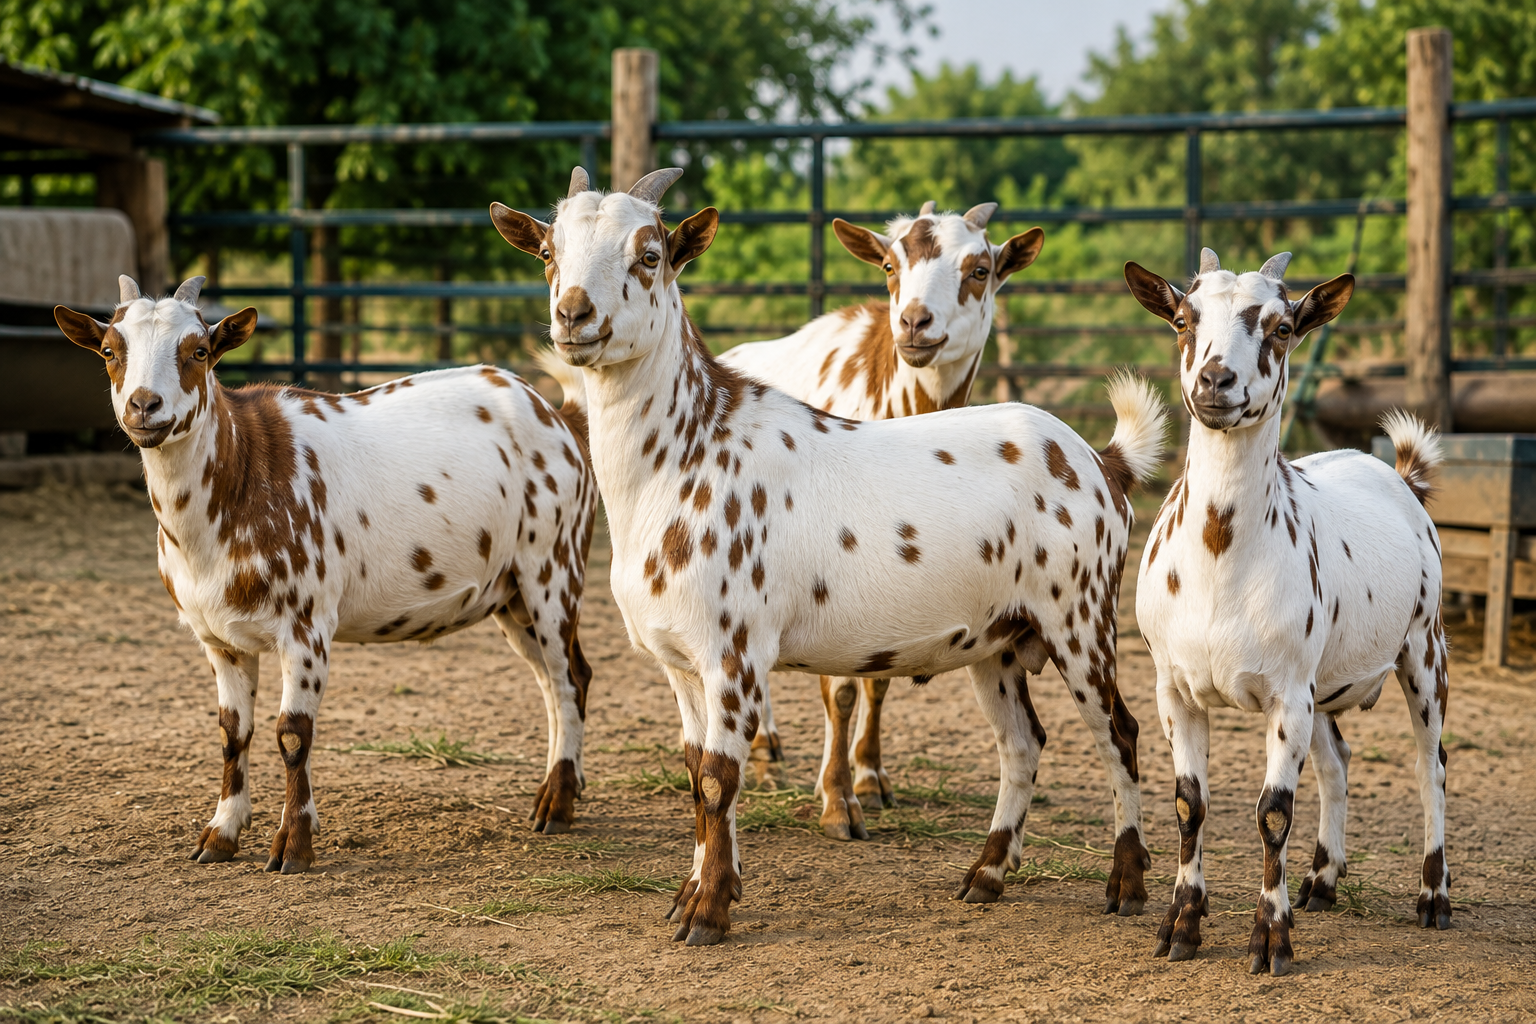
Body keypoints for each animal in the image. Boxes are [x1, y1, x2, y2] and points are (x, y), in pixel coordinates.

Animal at [53, 276, 598, 872]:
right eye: (110, 351)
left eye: (199, 351)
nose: (143, 405)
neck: (243, 473)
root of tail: (559, 417)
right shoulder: (219, 639)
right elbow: (232, 732)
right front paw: (221, 834)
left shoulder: (306, 626)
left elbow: (293, 734)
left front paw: (293, 846)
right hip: (511, 597)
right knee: (550, 680)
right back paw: (555, 791)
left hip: (554, 567)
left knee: (570, 676)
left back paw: (558, 806)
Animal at [717, 204, 1044, 812]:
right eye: (890, 266)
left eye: (980, 270)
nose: (915, 323)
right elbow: (841, 688)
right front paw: (837, 796)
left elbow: (879, 678)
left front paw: (869, 775)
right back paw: (766, 746)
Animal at [1125, 249, 1451, 977]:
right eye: (1183, 319)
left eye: (1280, 327)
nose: (1216, 380)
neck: (1221, 560)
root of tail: (1399, 476)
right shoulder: (1174, 689)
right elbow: (1189, 805)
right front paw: (1180, 926)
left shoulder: (1286, 694)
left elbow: (1273, 813)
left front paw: (1270, 940)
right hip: (1325, 684)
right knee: (1338, 763)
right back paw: (1322, 882)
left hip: (1425, 649)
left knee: (1431, 767)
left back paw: (1434, 897)